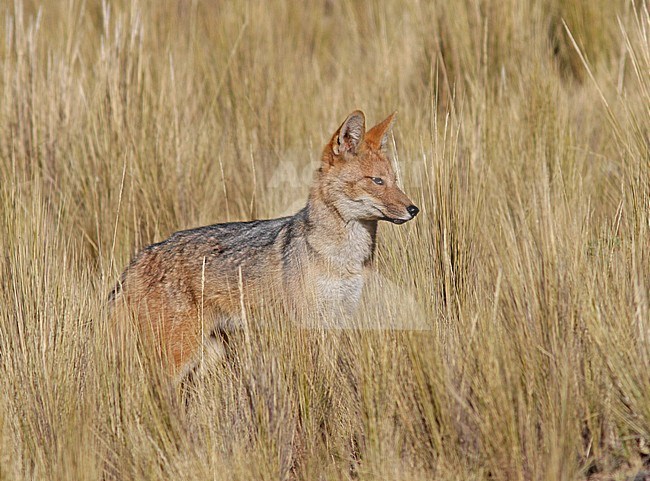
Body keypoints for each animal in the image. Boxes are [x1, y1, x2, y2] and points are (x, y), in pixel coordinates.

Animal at [109, 110, 418, 376]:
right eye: (376, 181)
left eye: (395, 180)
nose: (414, 209)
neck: (344, 258)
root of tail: (140, 257)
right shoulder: (306, 326)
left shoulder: (336, 322)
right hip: (179, 358)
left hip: (209, 356)